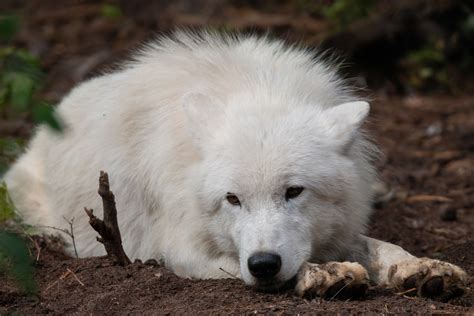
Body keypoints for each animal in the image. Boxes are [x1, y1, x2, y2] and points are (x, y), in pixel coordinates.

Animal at [3, 31, 464, 298]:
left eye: (293, 191)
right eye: (232, 199)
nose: (263, 264)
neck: (255, 90)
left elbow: (382, 247)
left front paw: (420, 267)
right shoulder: (182, 251)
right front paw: (324, 273)